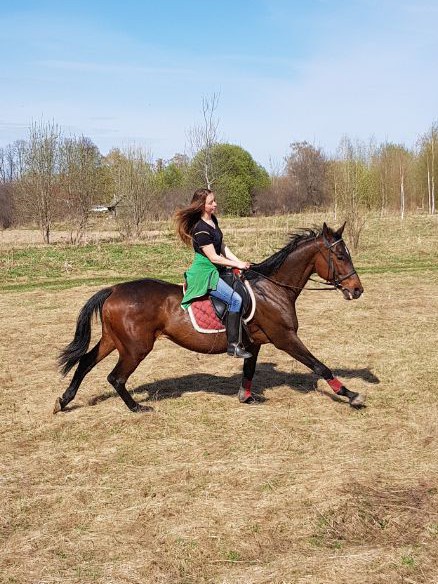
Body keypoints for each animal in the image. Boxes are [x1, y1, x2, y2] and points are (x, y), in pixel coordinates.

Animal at [54, 222, 365, 414]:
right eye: (340, 255)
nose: (357, 290)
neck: (272, 288)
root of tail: (114, 289)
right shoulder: (285, 337)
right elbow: (320, 366)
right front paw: (352, 395)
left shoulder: (253, 344)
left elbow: (249, 371)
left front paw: (246, 397)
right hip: (135, 347)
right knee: (115, 377)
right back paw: (137, 408)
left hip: (113, 340)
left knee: (85, 363)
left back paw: (64, 401)